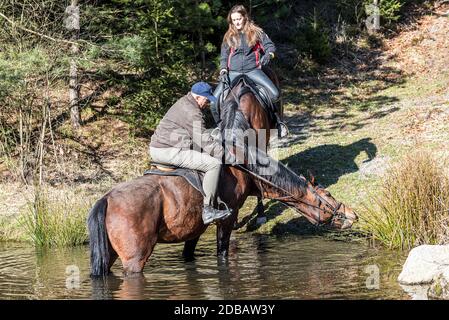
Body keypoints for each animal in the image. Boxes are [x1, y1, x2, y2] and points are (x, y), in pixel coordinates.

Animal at [86, 70, 356, 276]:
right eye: (328, 195)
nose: (351, 214)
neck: (244, 169)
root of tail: (105, 200)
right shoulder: (227, 219)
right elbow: (223, 254)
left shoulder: (193, 231)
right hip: (135, 259)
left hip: (110, 256)